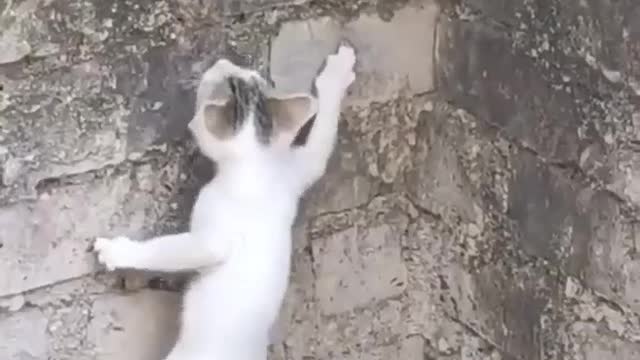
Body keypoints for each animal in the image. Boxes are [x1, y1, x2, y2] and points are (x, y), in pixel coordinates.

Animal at [92, 43, 358, 358]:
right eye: (248, 76)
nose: (224, 63)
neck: (255, 166)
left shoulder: (215, 233)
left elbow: (181, 249)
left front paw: (118, 252)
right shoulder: (296, 172)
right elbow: (320, 147)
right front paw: (337, 75)